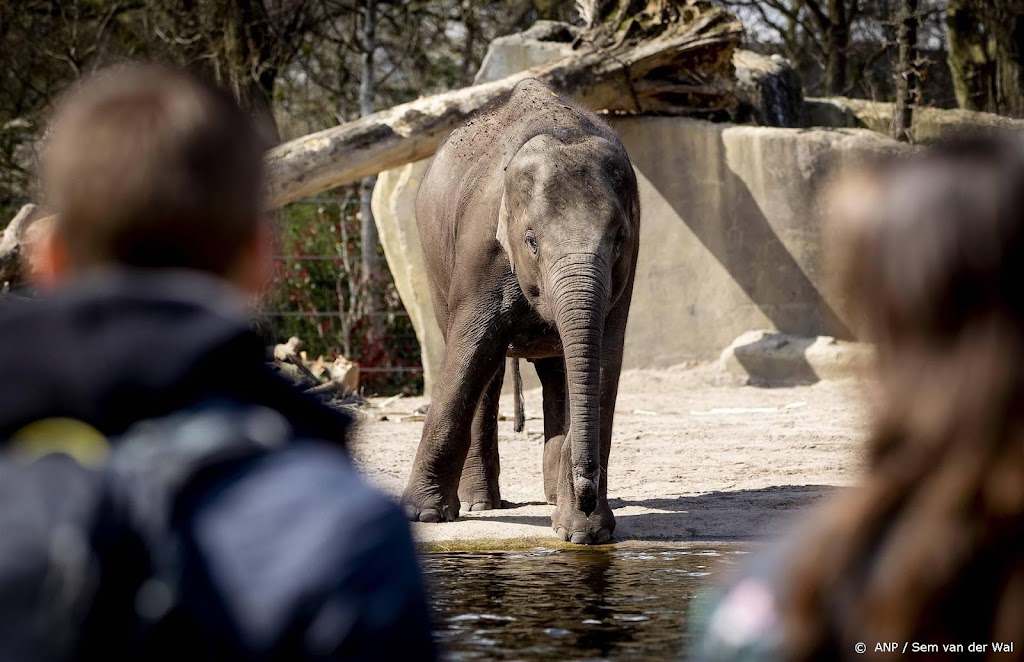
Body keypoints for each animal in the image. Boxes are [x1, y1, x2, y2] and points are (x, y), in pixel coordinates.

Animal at [399, 78, 638, 545]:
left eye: (619, 238)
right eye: (531, 241)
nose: (586, 487)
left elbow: (604, 361)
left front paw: (584, 533)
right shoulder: (481, 243)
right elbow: (470, 350)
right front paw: (423, 515)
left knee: (558, 372)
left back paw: (549, 499)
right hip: (434, 261)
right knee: (486, 370)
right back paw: (480, 504)